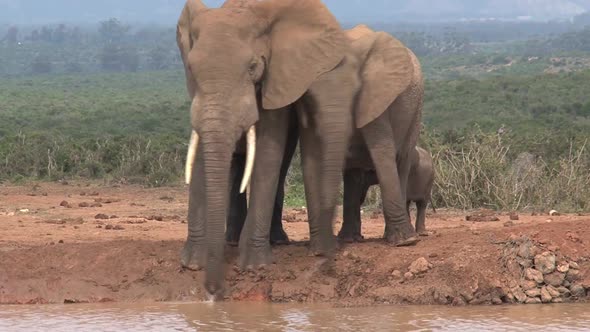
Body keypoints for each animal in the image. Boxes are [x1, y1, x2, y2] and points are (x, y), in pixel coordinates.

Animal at [179, 0, 356, 296]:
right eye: (191, 69)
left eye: (253, 67)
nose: (214, 291)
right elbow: (203, 155)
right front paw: (192, 264)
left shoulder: (278, 78)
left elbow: (268, 152)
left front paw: (254, 266)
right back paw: (231, 240)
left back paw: (274, 241)